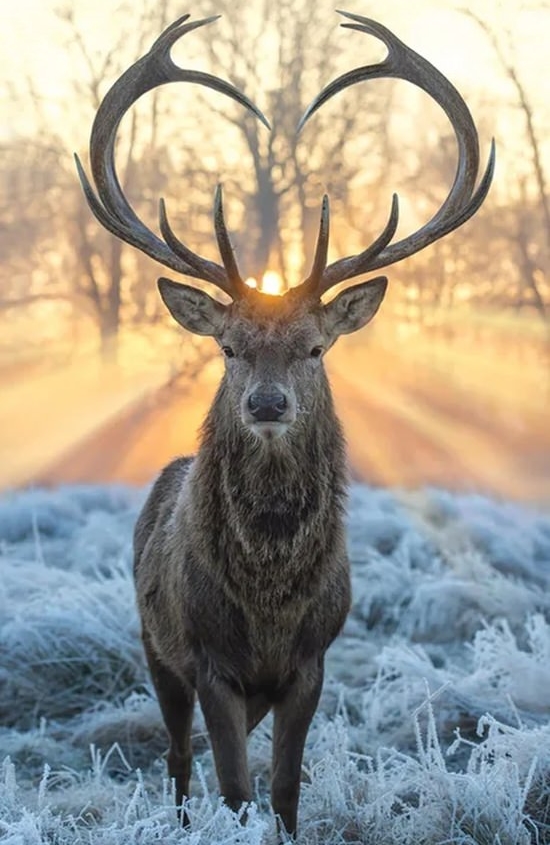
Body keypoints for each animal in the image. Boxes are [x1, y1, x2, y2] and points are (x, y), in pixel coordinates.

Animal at [75, 11, 494, 838]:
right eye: (229, 347)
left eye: (315, 347)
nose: (267, 403)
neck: (269, 605)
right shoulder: (208, 658)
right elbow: (235, 786)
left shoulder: (313, 660)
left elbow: (286, 786)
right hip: (152, 643)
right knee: (178, 758)